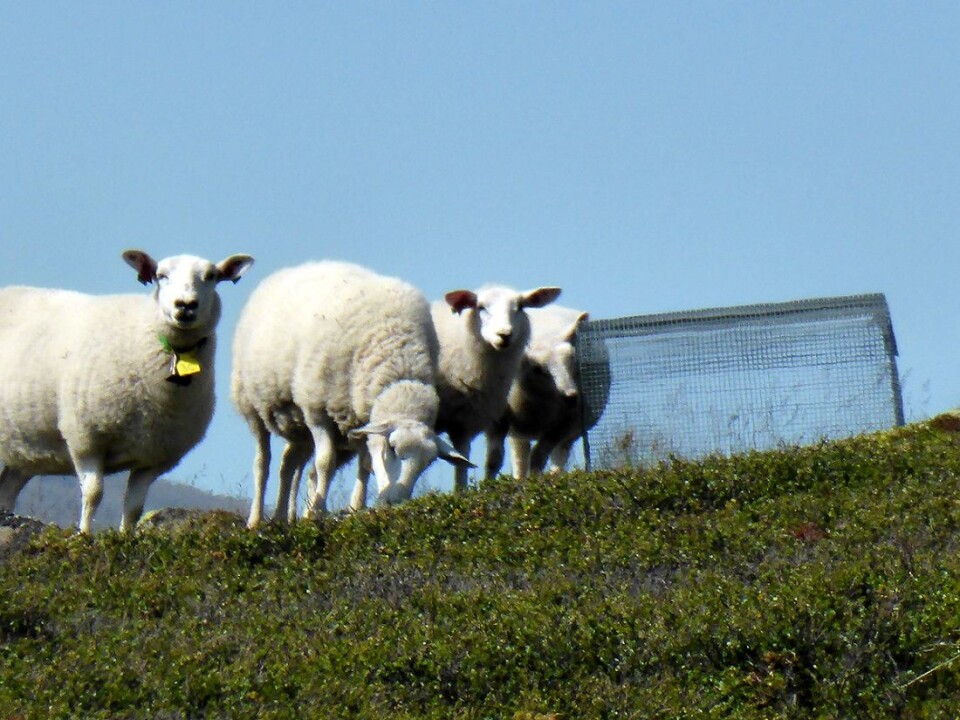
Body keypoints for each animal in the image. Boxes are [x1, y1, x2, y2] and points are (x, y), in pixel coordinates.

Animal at [0, 250, 255, 533]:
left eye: (211, 276)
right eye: (161, 275)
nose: (186, 305)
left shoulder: (154, 458)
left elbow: (134, 507)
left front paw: (125, 537)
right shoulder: (86, 439)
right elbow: (93, 494)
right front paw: (84, 534)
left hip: (23, 450)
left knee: (7, 488)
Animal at [231, 261, 471, 528]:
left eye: (428, 463)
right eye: (393, 448)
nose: (394, 503)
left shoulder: (361, 422)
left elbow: (365, 466)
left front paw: (356, 509)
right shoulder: (316, 411)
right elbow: (325, 463)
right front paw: (316, 513)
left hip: (298, 426)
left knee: (288, 463)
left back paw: (281, 517)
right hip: (252, 404)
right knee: (262, 462)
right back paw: (255, 520)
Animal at [485, 305, 607, 479]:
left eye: (572, 360)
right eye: (537, 368)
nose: (571, 397)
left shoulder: (560, 426)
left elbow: (538, 458)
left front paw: (536, 479)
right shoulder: (497, 420)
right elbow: (494, 459)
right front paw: (488, 483)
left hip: (573, 430)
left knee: (559, 454)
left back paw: (554, 475)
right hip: (518, 431)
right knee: (520, 455)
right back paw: (519, 478)